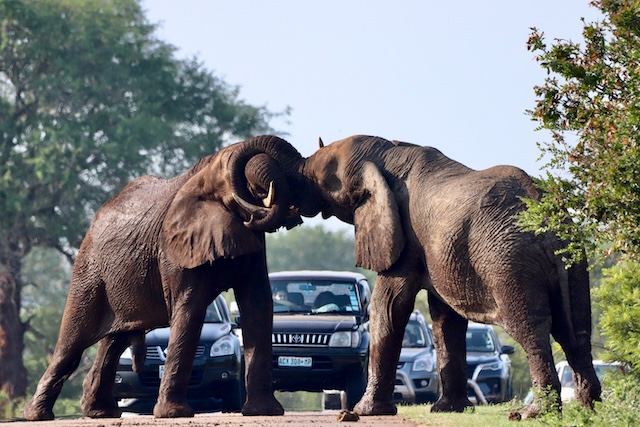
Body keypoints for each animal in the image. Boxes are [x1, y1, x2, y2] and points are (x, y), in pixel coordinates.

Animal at [23, 135, 304, 421]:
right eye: (233, 176)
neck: (203, 174)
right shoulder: (174, 247)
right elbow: (190, 310)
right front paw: (174, 414)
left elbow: (258, 304)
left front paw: (266, 412)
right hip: (90, 272)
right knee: (72, 341)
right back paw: (37, 415)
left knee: (114, 341)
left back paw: (101, 412)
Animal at [293, 134, 601, 418]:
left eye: (324, 178)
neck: (387, 154)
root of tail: (548, 223)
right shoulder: (442, 253)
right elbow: (445, 317)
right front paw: (449, 410)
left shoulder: (407, 237)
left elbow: (389, 305)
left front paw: (367, 411)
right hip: (574, 262)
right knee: (575, 331)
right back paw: (590, 408)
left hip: (510, 263)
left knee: (531, 330)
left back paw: (534, 414)